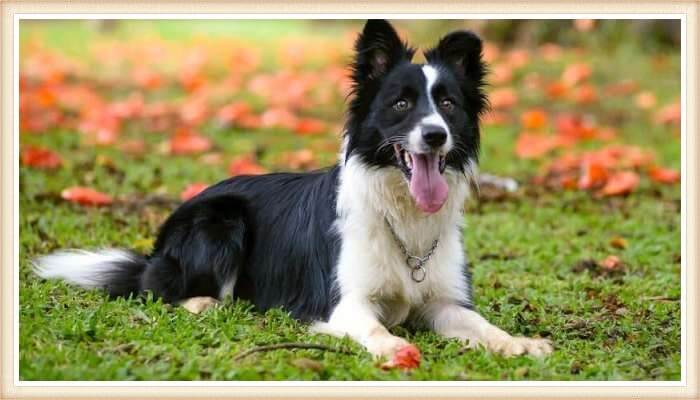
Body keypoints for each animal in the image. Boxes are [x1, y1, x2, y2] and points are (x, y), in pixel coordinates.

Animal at [34, 19, 552, 362]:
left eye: (447, 104)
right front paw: (393, 347)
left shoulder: (444, 302)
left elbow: (482, 324)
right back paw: (203, 302)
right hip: (221, 221)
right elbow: (372, 328)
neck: (400, 212)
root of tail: (159, 243)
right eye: (402, 104)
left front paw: (518, 342)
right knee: (158, 289)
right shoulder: (344, 303)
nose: (435, 136)